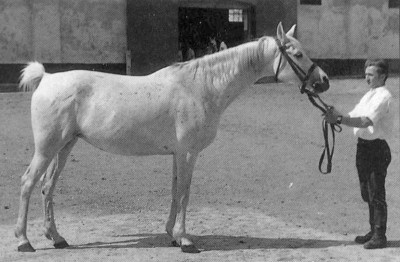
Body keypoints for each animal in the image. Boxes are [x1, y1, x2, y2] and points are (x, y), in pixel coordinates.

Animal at [14, 23, 328, 254]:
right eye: (297, 54)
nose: (323, 81)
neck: (201, 86)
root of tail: (47, 78)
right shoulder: (189, 152)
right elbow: (186, 193)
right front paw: (185, 240)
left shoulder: (178, 154)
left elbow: (176, 191)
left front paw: (172, 235)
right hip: (47, 148)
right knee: (29, 183)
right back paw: (24, 241)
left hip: (65, 146)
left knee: (48, 187)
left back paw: (56, 238)